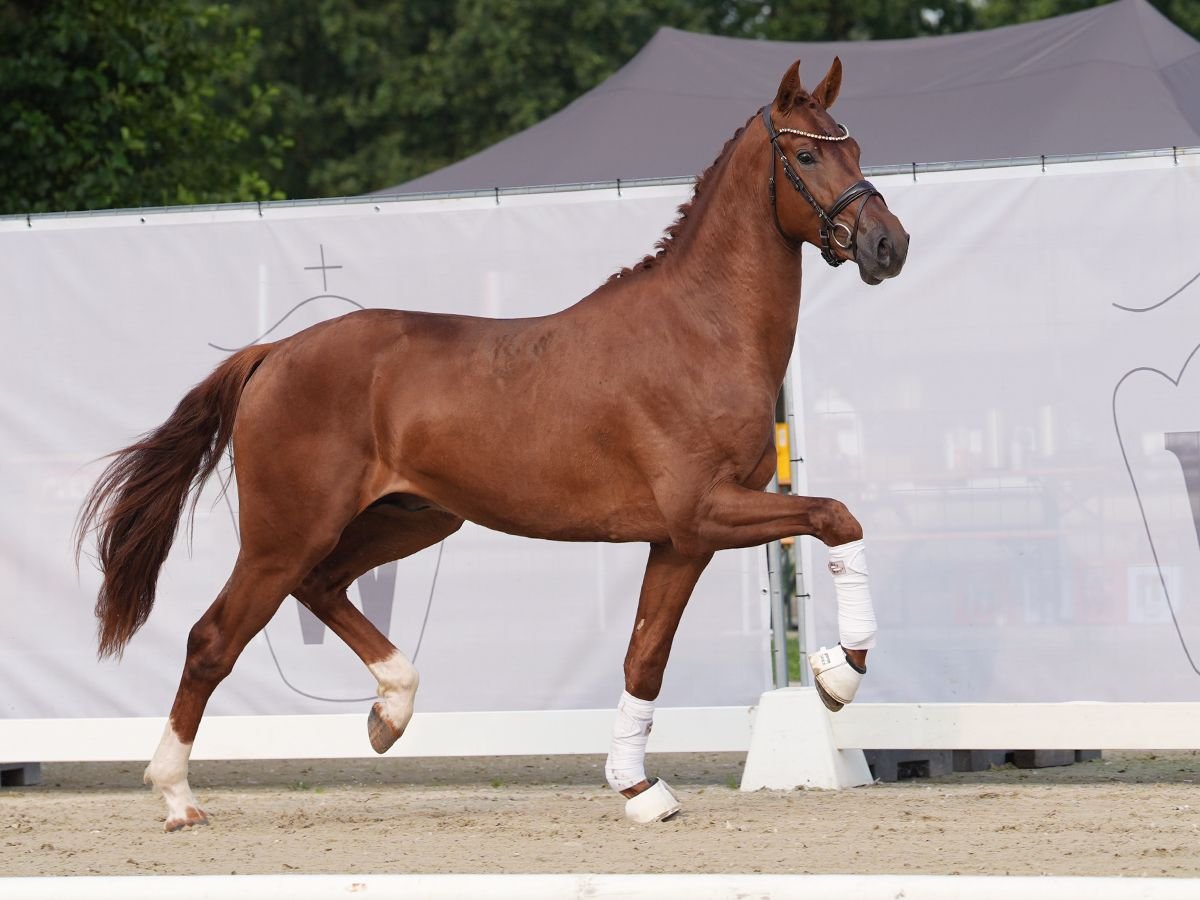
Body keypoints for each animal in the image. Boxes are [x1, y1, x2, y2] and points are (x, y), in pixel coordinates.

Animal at [75, 58, 902, 830]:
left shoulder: (680, 541)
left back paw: (390, 711)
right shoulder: (708, 512)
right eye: (806, 155)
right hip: (284, 535)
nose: (888, 245)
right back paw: (177, 796)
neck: (700, 331)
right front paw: (839, 673)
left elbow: (645, 658)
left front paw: (638, 790)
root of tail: (273, 353)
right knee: (213, 638)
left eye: (857, 145)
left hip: (413, 518)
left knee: (323, 586)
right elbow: (837, 517)